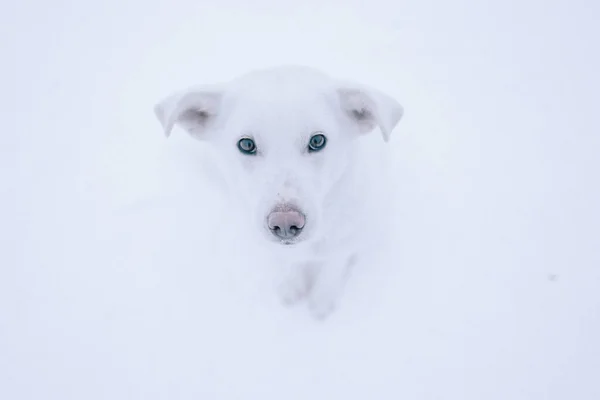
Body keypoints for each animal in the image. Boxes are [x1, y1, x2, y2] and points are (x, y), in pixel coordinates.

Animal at [155, 66, 404, 322]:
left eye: (317, 140)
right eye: (246, 145)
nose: (285, 223)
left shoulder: (344, 243)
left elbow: (331, 269)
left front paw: (322, 301)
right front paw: (291, 287)